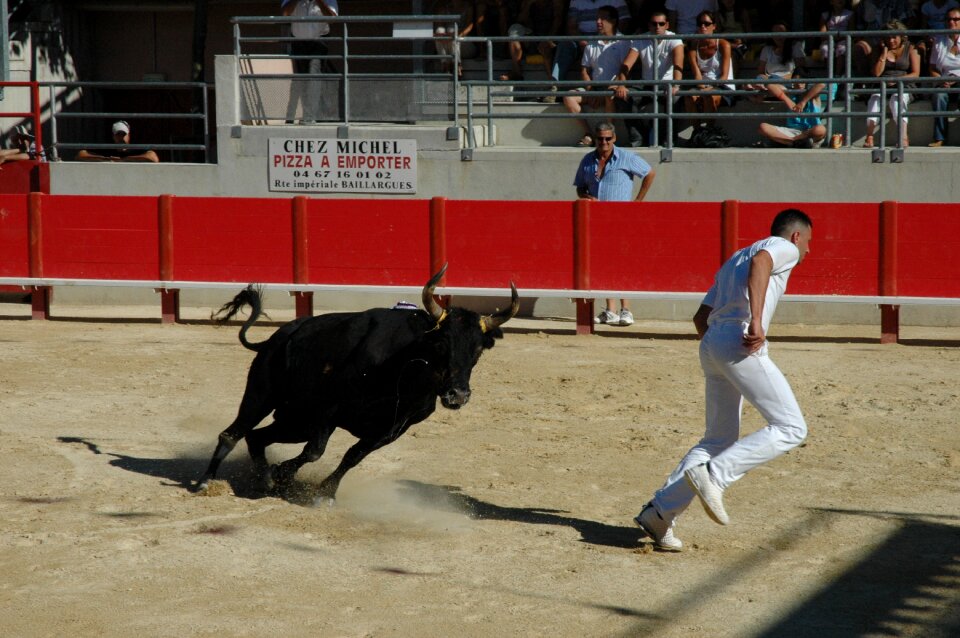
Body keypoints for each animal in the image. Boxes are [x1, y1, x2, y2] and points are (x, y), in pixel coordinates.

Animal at [194, 268, 516, 502]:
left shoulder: (391, 429)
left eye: (478, 350)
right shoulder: (329, 409)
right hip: (262, 395)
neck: (404, 371)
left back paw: (265, 480)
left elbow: (353, 457)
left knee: (257, 437)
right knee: (232, 434)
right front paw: (284, 472)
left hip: (295, 420)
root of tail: (275, 339)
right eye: (441, 344)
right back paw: (207, 482)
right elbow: (316, 451)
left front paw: (323, 493)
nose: (457, 395)